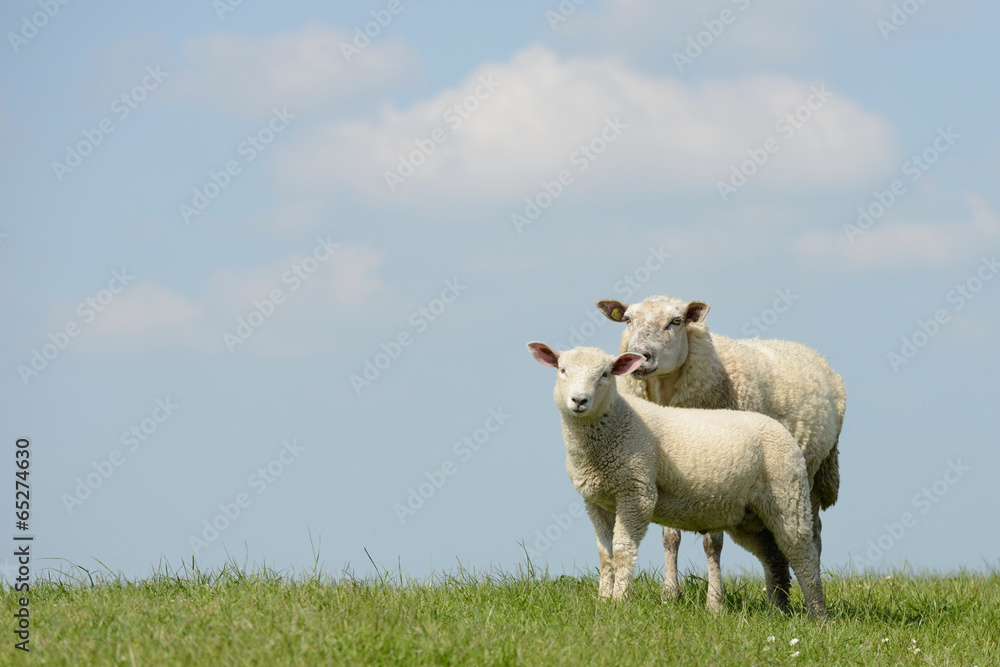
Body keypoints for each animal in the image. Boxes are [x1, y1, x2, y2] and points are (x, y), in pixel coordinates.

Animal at [526, 342, 828, 620]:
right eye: (562, 370)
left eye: (605, 374)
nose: (579, 400)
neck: (616, 423)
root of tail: (782, 430)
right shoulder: (596, 501)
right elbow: (605, 554)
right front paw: (602, 601)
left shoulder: (637, 491)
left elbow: (623, 551)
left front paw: (619, 602)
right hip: (750, 517)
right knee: (774, 557)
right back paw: (779, 610)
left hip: (787, 494)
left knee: (803, 554)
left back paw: (818, 616)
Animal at [596, 295, 845, 614]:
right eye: (628, 320)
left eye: (676, 321)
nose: (640, 356)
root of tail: (804, 348)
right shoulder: (668, 470)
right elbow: (670, 537)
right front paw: (670, 594)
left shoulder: (720, 475)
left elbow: (712, 544)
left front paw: (715, 603)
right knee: (772, 543)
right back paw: (778, 602)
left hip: (811, 475)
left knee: (812, 536)